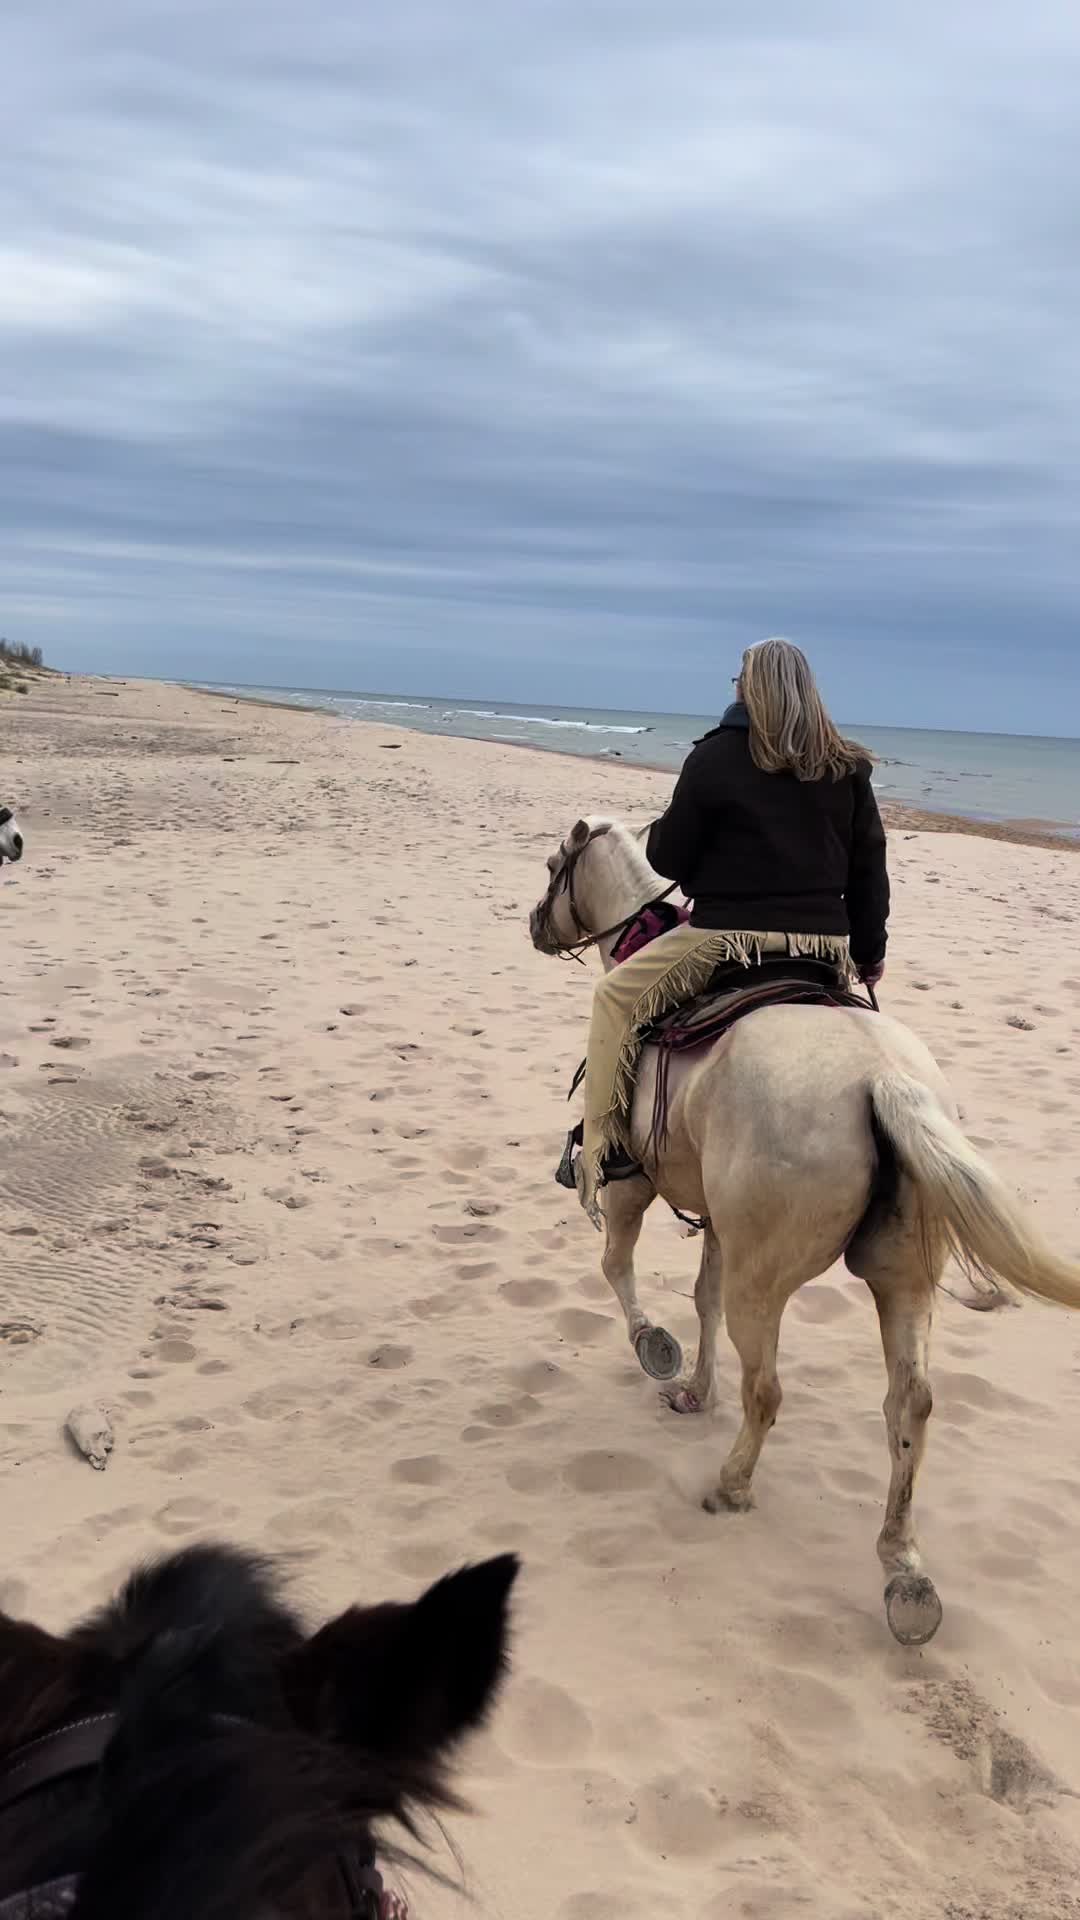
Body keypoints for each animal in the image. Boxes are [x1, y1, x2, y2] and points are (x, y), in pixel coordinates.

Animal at [526, 817, 1076, 1643]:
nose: (534, 923)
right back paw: (903, 1571)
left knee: (767, 1388)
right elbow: (703, 1300)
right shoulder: (720, 1225)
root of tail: (883, 1080)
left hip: (766, 1280)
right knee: (911, 1402)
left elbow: (619, 1270)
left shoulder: (633, 1185)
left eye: (555, 867)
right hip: (903, 1278)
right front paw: (693, 1390)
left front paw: (656, 1351)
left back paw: (732, 1486)